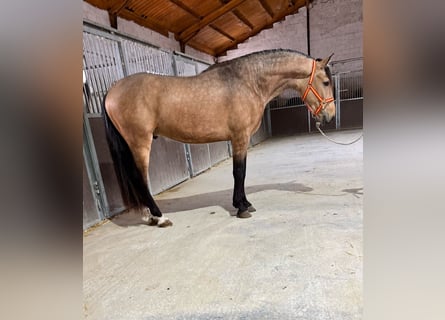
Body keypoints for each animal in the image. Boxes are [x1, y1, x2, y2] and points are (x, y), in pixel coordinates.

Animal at [103, 48, 332, 226]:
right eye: (327, 82)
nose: (330, 116)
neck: (248, 82)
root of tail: (112, 89)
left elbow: (242, 172)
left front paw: (245, 203)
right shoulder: (239, 137)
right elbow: (239, 172)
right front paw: (241, 208)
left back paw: (149, 216)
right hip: (140, 143)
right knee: (140, 179)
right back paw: (159, 217)